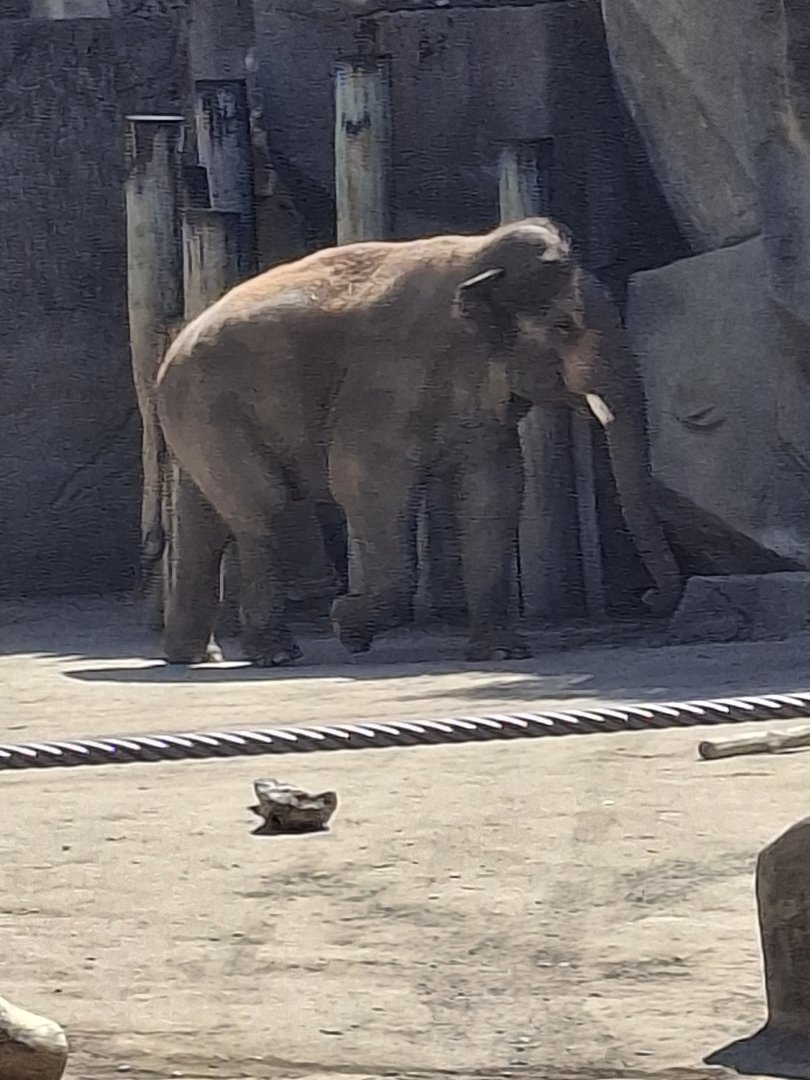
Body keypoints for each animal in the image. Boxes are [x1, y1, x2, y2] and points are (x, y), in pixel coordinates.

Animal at [154, 217, 683, 666]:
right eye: (564, 326)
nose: (649, 597)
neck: (478, 260)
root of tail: (177, 339)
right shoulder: (388, 380)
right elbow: (365, 485)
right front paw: (347, 625)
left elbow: (494, 492)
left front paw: (502, 654)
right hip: (209, 407)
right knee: (266, 508)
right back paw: (276, 654)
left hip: (197, 418)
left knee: (206, 521)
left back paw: (197, 656)